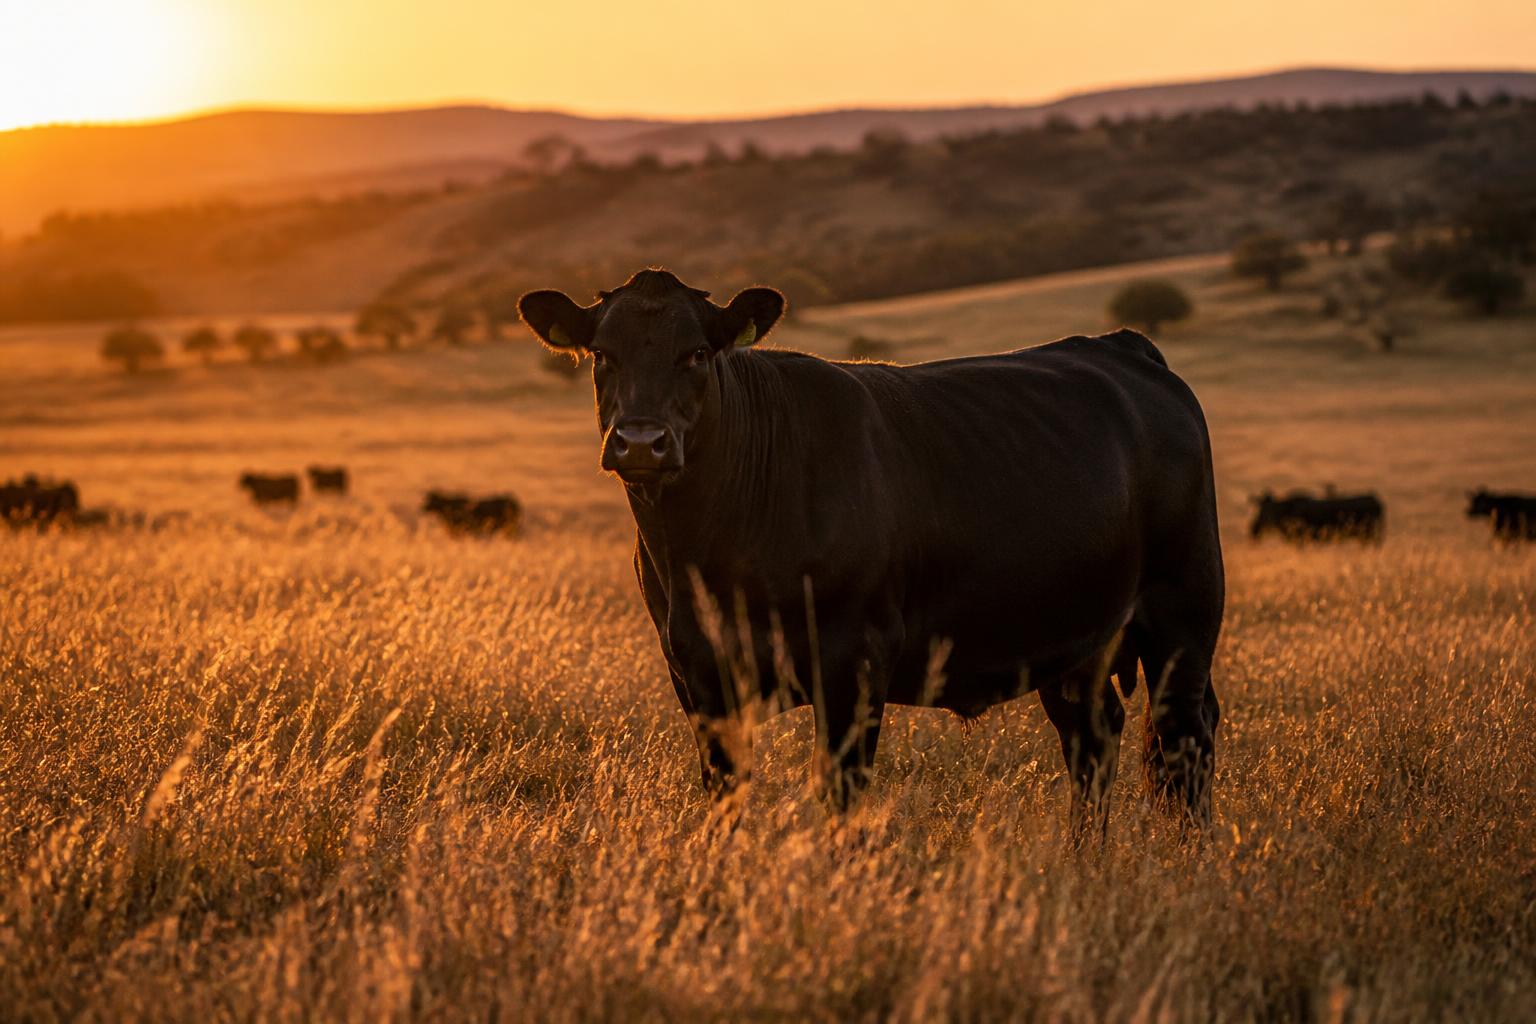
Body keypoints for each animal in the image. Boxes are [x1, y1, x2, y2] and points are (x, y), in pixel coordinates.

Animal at [517, 268, 1225, 835]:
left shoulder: (853, 662)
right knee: (1093, 739)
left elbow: (840, 794)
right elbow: (724, 795)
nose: (640, 441)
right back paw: (1084, 861)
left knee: (1186, 738)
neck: (710, 552)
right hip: (1077, 640)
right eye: (601, 353)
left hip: (1183, 612)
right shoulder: (696, 672)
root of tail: (1123, 347)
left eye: (695, 352)